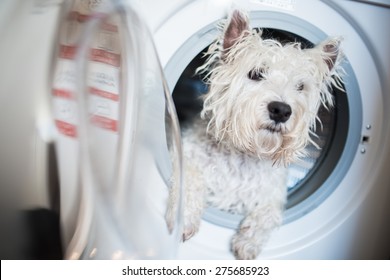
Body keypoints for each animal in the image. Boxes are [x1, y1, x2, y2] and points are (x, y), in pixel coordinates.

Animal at [166, 10, 342, 260]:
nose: (281, 111)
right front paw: (185, 219)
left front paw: (248, 243)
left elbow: (269, 212)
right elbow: (190, 177)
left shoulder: (272, 192)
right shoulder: (179, 152)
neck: (242, 156)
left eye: (300, 87)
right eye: (256, 74)